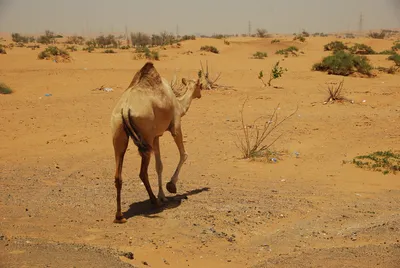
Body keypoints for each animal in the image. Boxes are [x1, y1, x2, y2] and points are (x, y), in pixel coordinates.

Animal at [109, 61, 202, 223]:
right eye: (201, 86)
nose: (200, 94)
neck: (179, 104)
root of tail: (125, 109)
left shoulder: (156, 136)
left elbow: (159, 166)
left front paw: (162, 195)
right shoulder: (175, 126)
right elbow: (184, 154)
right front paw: (170, 186)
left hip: (119, 134)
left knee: (118, 175)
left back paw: (120, 216)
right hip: (145, 137)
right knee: (142, 173)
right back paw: (154, 201)